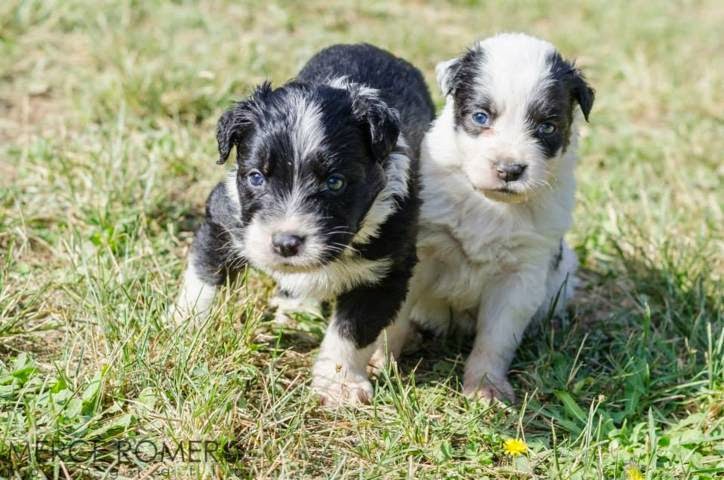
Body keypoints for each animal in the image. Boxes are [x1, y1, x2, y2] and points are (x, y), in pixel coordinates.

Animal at [174, 44, 436, 404]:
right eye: (256, 177)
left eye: (335, 183)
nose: (286, 243)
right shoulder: (224, 216)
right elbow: (204, 278)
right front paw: (183, 327)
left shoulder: (388, 267)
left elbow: (352, 330)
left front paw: (340, 385)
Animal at [374, 32, 592, 402]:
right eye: (480, 117)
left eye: (547, 127)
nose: (510, 170)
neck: (489, 203)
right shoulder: (421, 252)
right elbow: (393, 316)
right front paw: (378, 361)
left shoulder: (521, 275)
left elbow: (496, 338)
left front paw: (486, 387)